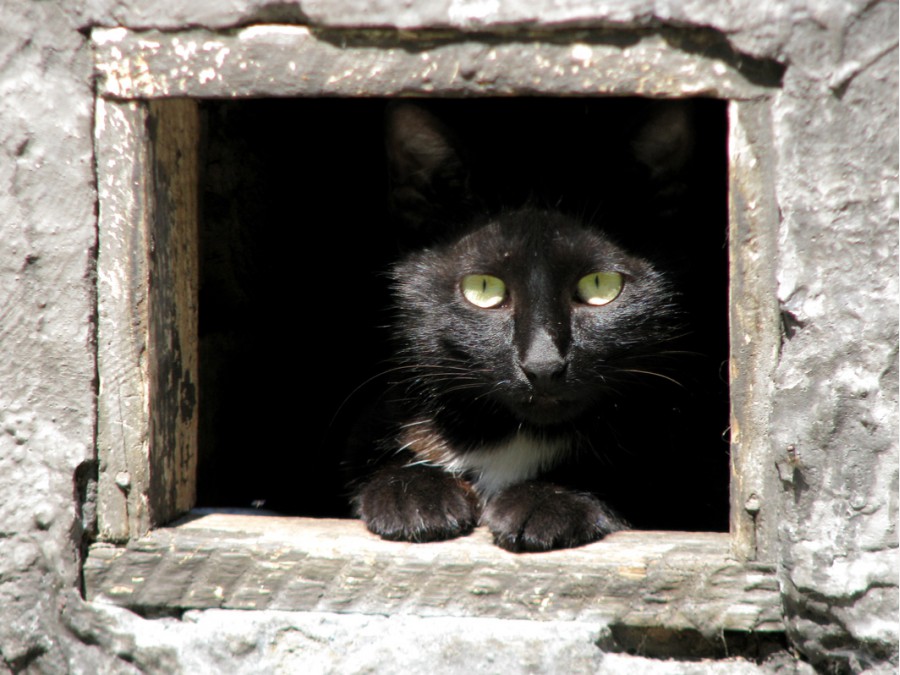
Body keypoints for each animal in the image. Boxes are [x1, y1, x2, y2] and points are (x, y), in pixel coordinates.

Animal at [348, 101, 712, 556]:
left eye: (601, 286)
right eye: (483, 288)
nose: (542, 365)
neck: (515, 438)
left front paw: (547, 500)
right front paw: (412, 493)